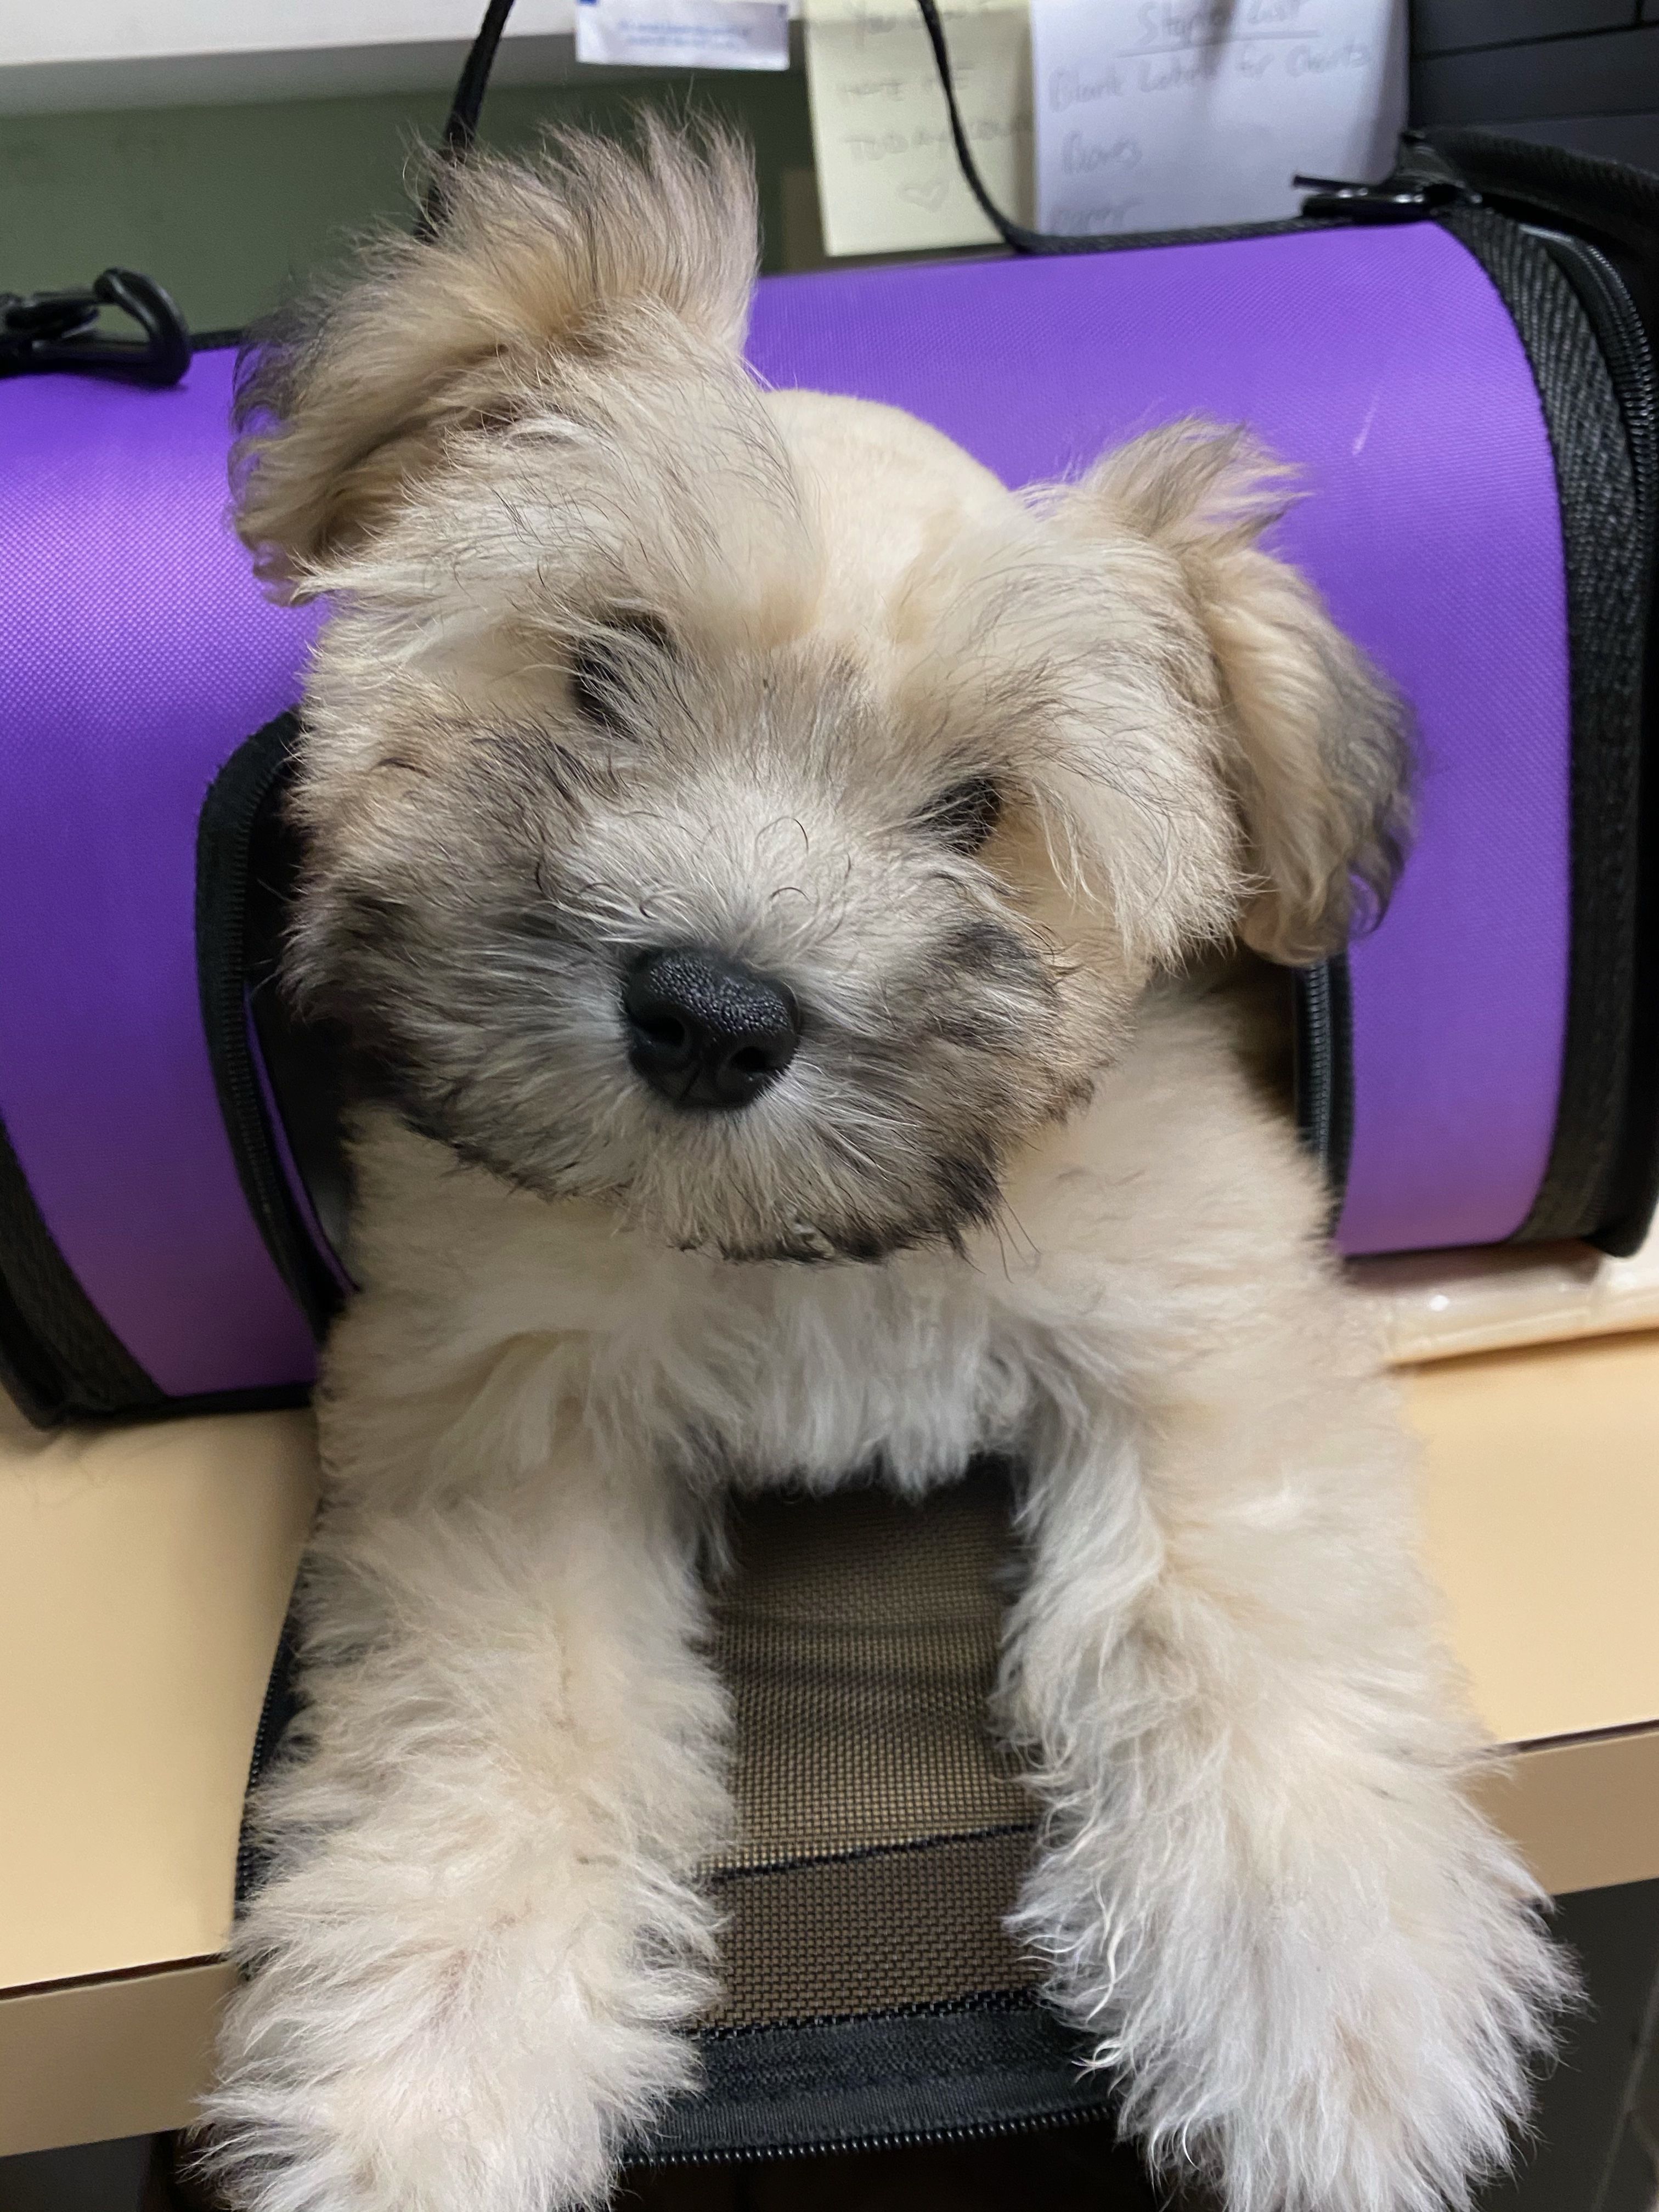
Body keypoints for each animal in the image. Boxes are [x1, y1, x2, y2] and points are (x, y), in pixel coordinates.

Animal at [205, 126, 1567, 2212]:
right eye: (605, 671)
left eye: (977, 810)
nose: (708, 1010)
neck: (810, 1251)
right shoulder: (503, 1413)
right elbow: (502, 1709)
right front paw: (432, 2055)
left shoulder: (1203, 1323)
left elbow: (1231, 1619)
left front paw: (1325, 1996)